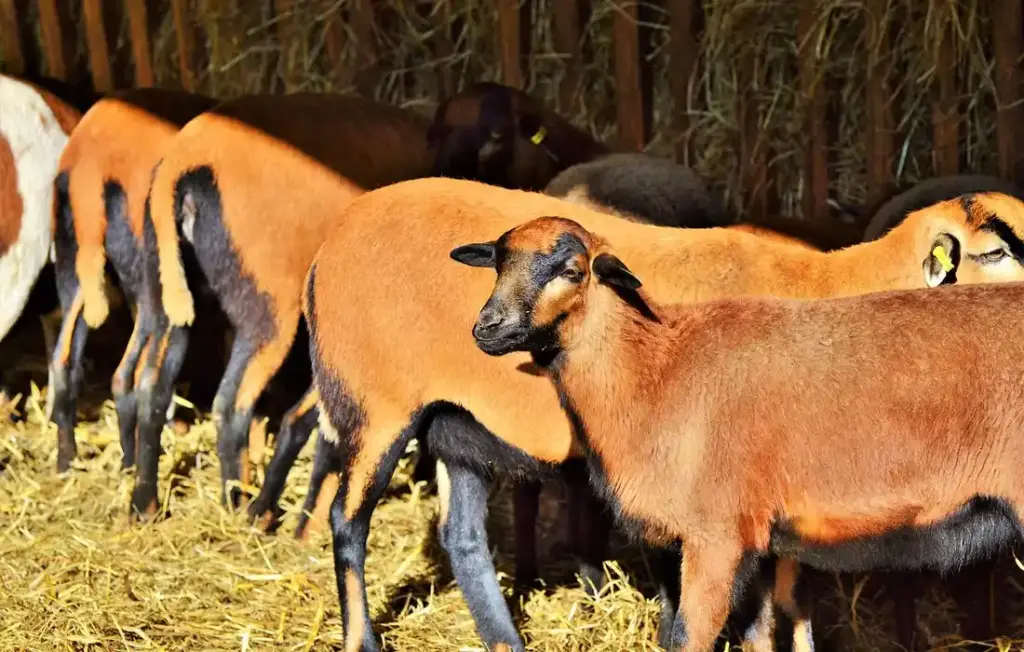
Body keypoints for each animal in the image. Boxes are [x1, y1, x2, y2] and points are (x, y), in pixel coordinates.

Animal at [49, 87, 222, 472]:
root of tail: (91, 167)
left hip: (75, 268)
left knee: (64, 363)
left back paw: (67, 461)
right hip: (154, 286)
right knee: (127, 376)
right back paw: (133, 459)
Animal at [134, 92, 436, 519]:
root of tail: (183, 167)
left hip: (168, 293)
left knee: (152, 387)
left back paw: (144, 503)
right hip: (267, 310)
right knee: (231, 405)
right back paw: (239, 504)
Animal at [300, 176, 1024, 652]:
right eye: (995, 252)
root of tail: (329, 241)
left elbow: (789, 605)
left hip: (456, 423)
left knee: (464, 540)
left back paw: (507, 641)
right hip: (374, 403)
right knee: (347, 523)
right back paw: (364, 640)